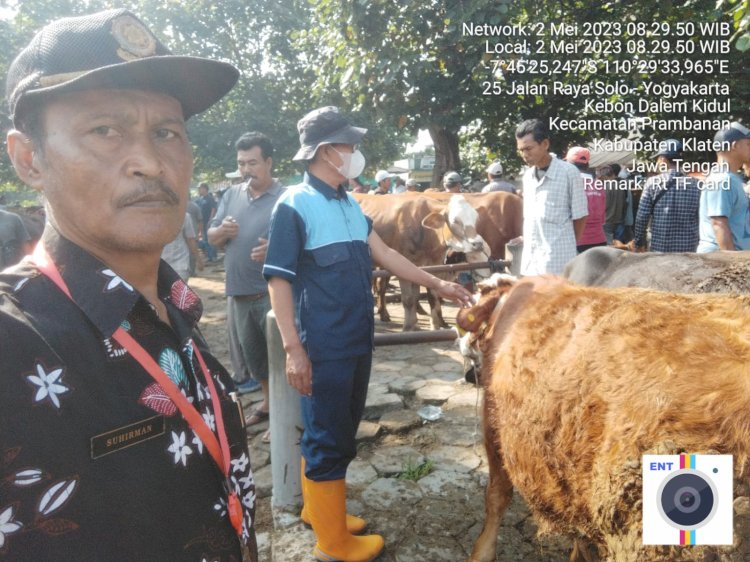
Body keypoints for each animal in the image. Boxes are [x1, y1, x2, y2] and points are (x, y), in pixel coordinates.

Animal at [356, 194, 490, 328]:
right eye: (455, 221)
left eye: (476, 219)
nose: (478, 244)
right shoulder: (404, 264)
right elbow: (408, 299)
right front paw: (408, 327)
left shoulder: (421, 266)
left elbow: (422, 296)